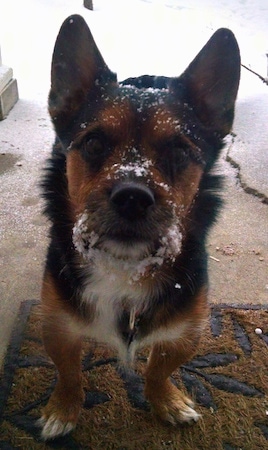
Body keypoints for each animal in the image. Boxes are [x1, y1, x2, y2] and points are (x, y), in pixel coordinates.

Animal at [38, 14, 241, 440]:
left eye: (179, 150)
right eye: (94, 143)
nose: (132, 197)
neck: (125, 268)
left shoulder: (186, 330)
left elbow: (159, 370)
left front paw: (167, 401)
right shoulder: (58, 326)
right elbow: (69, 374)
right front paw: (63, 409)